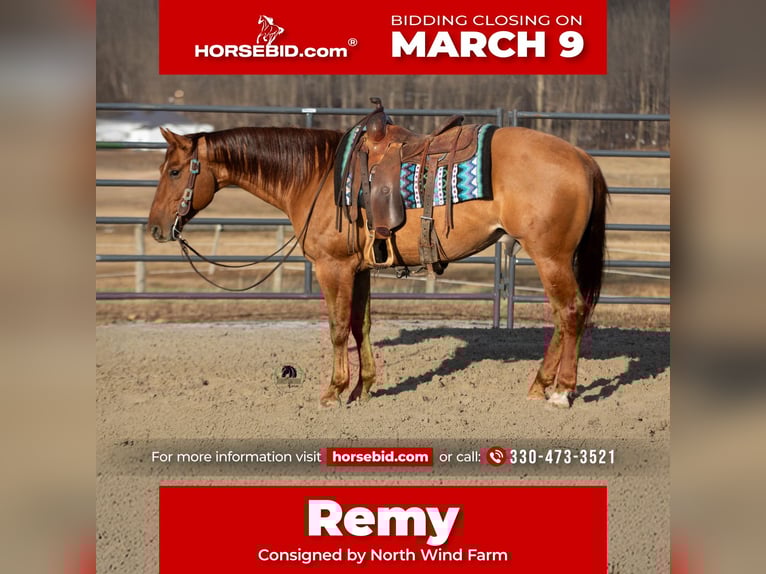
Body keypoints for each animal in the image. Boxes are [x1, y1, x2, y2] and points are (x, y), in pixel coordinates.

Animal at [148, 116, 608, 409]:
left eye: (174, 171)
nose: (155, 227)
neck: (316, 177)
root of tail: (584, 159)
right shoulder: (360, 269)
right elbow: (360, 326)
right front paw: (363, 389)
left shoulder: (333, 267)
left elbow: (337, 329)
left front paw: (333, 392)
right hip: (552, 259)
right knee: (563, 317)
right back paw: (540, 385)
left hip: (550, 257)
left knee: (570, 312)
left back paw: (561, 392)